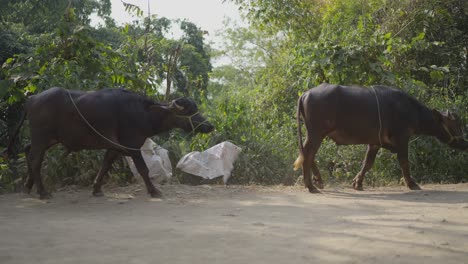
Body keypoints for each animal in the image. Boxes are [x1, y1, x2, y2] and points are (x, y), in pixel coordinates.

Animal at [8, 87, 214, 199]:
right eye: (190, 111)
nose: (209, 125)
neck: (144, 113)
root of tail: (32, 98)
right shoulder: (132, 146)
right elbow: (143, 169)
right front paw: (154, 190)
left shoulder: (114, 147)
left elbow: (105, 165)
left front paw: (97, 189)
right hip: (41, 137)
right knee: (36, 160)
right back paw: (43, 192)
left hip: (46, 139)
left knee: (28, 151)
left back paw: (28, 186)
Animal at [294, 83, 466, 193]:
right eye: (455, 124)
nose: (465, 143)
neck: (412, 111)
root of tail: (305, 94)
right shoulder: (402, 138)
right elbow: (404, 162)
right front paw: (412, 183)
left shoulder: (375, 142)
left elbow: (367, 163)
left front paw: (357, 183)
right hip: (317, 133)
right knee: (308, 153)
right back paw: (311, 186)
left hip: (314, 134)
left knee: (306, 153)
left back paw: (317, 181)